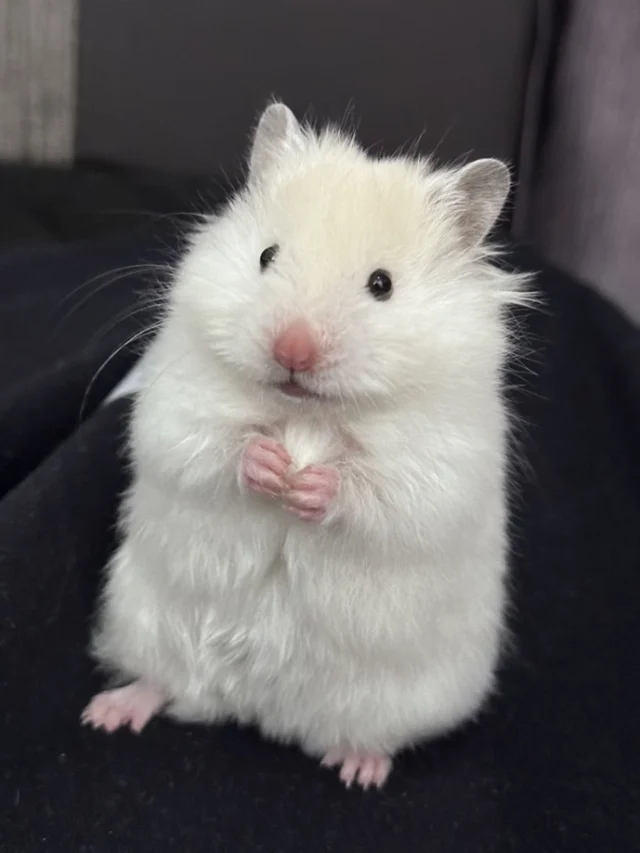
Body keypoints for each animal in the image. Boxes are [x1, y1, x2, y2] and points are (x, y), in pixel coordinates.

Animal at [82, 103, 530, 789]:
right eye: (266, 255)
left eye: (382, 284)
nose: (292, 350)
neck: (307, 412)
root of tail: (262, 711)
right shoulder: (178, 399)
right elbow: (201, 445)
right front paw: (270, 466)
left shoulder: (442, 456)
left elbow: (388, 495)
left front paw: (311, 486)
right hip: (144, 619)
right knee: (165, 683)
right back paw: (107, 713)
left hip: (409, 695)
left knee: (369, 734)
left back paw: (359, 769)